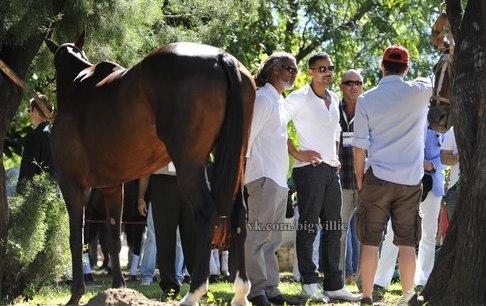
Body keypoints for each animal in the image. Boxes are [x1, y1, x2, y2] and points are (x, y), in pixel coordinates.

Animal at [46, 31, 256, 306]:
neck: (77, 88)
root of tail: (221, 58)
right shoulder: (113, 186)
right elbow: (113, 237)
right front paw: (118, 289)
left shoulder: (71, 183)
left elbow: (75, 237)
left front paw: (76, 295)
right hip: (237, 160)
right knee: (238, 214)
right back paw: (241, 293)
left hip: (189, 165)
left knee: (206, 212)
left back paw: (193, 293)